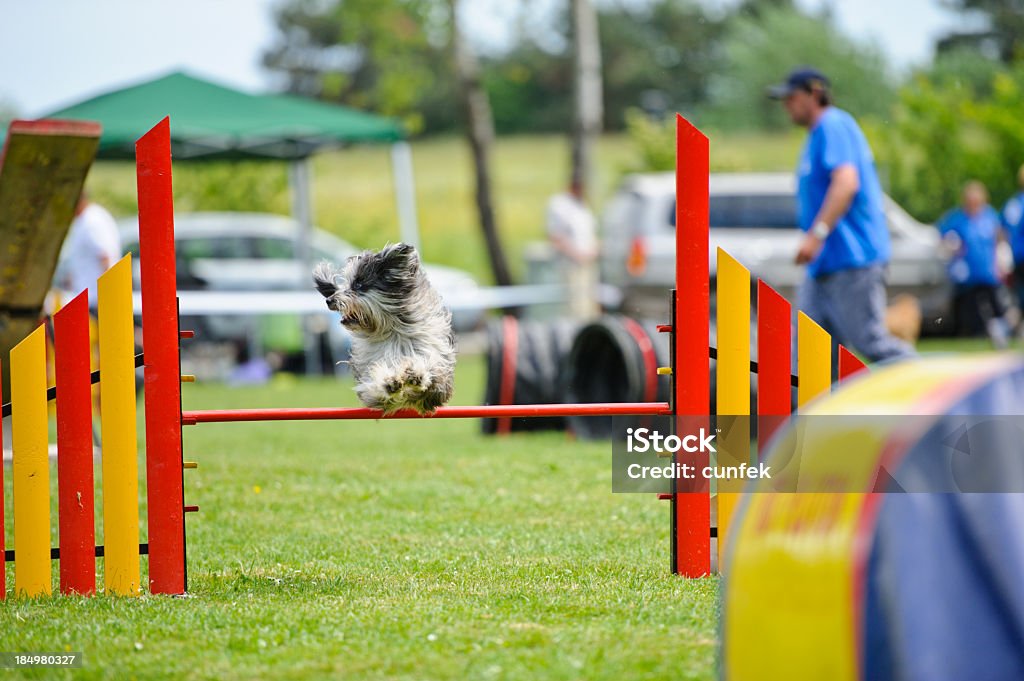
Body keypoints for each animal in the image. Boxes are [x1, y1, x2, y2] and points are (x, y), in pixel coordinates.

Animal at [311, 244, 456, 413]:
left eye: (358, 284)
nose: (329, 300)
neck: (393, 330)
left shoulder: (435, 363)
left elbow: (429, 369)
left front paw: (416, 374)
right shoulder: (369, 378)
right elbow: (376, 386)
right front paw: (390, 381)